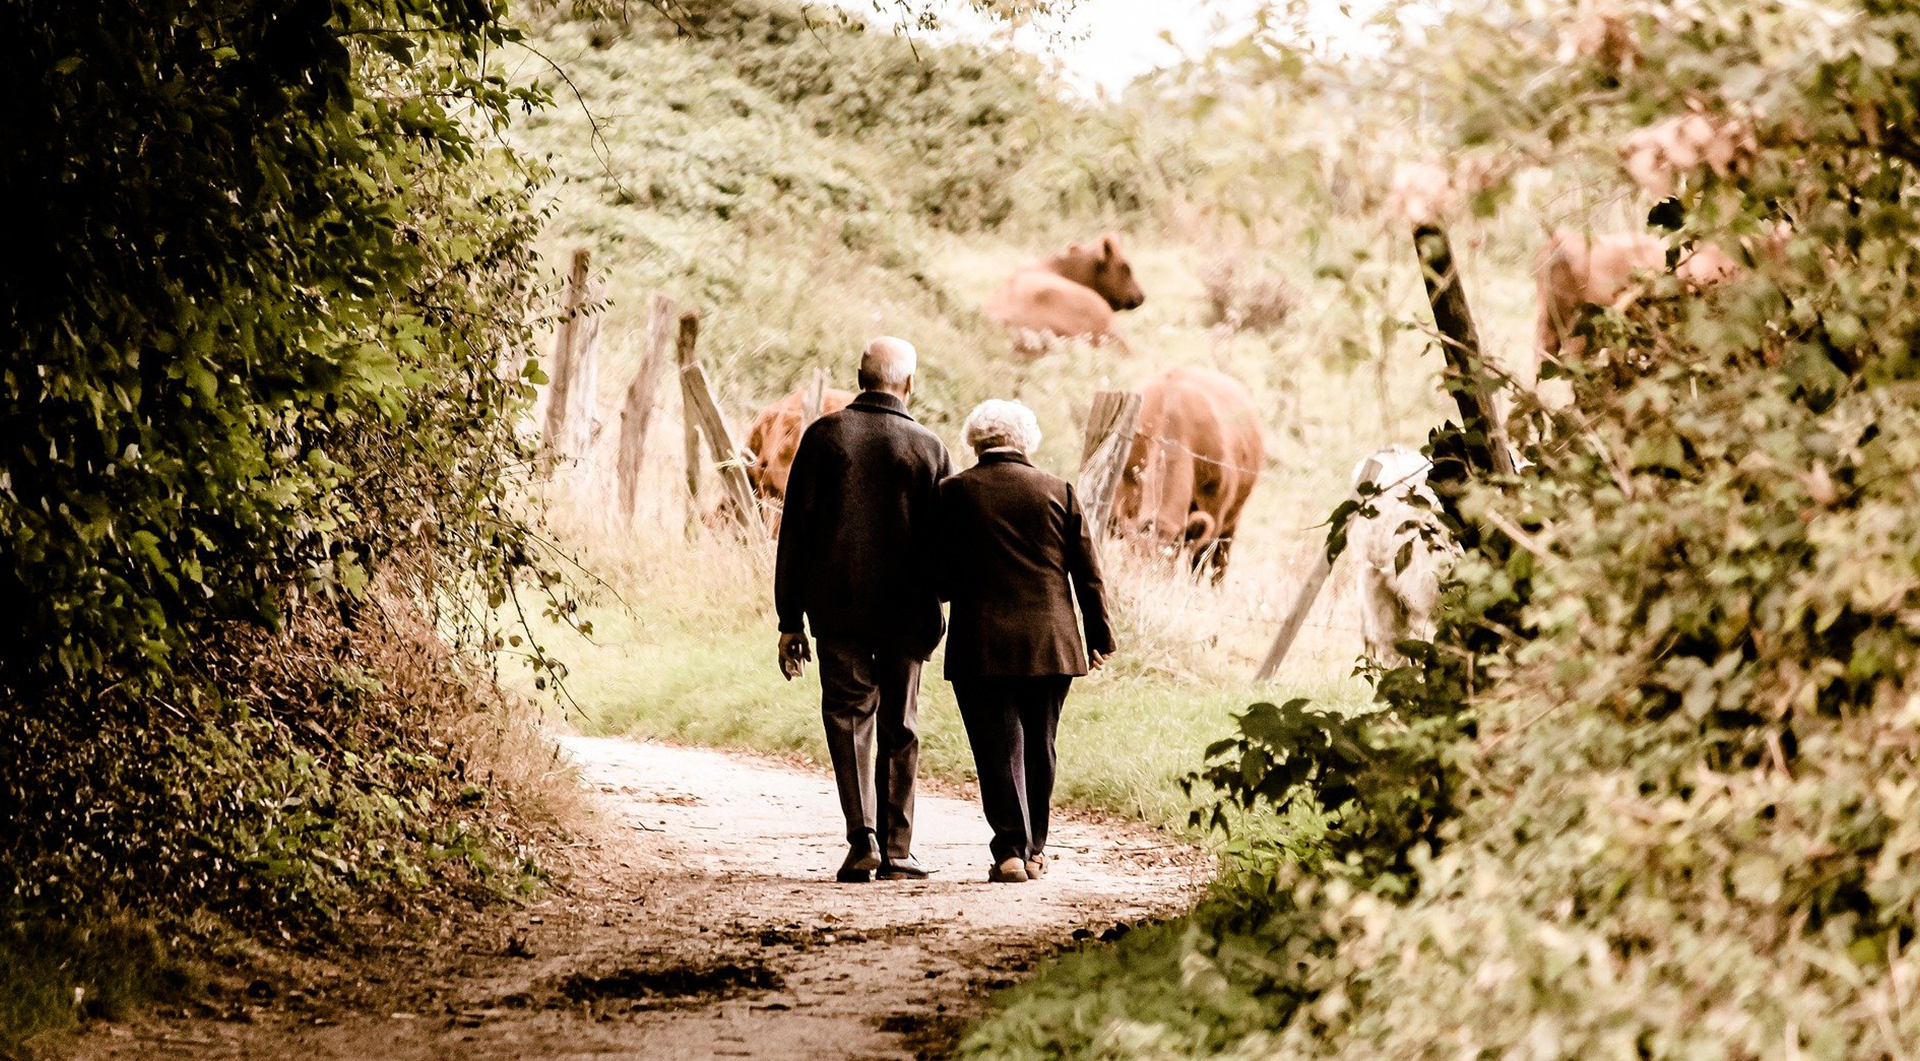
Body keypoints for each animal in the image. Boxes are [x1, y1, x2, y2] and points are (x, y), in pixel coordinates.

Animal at [1105, 364, 1267, 579]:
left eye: (1168, 563)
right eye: (1134, 558)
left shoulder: (1214, 511)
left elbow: (1199, 562)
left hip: (1232, 520)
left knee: (1220, 563)